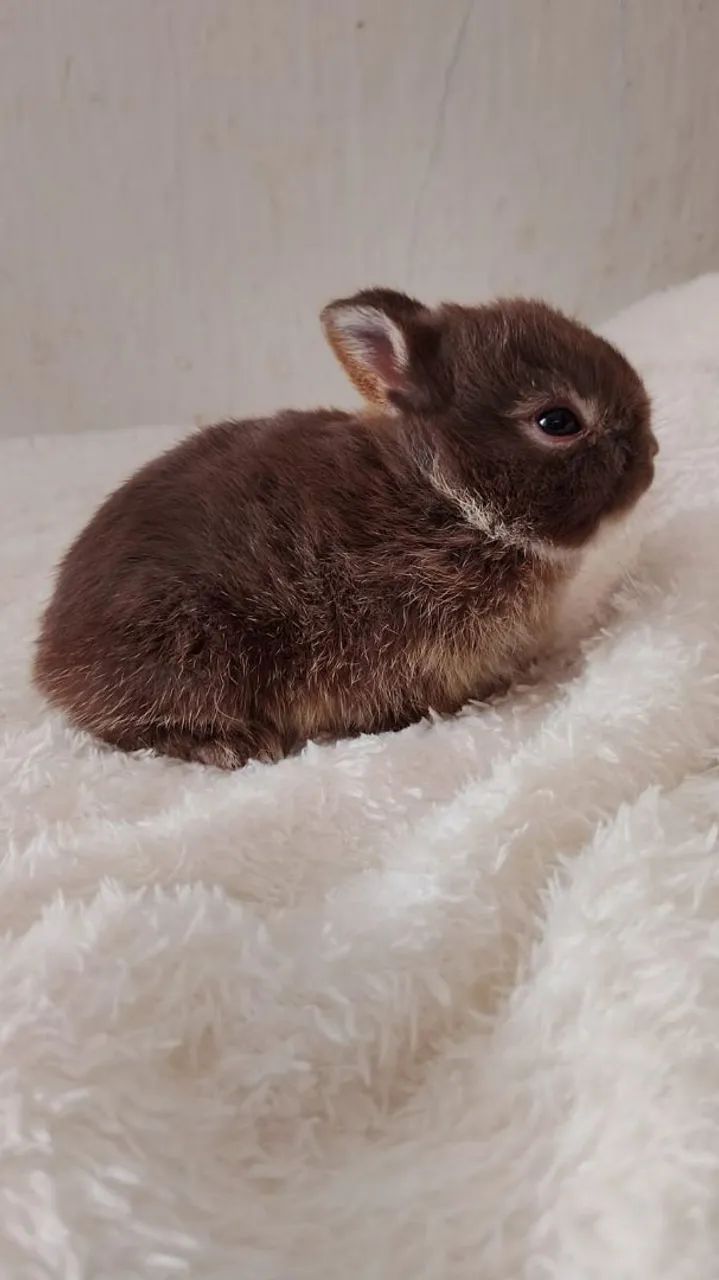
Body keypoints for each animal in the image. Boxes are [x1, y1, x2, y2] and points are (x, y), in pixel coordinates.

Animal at [33, 288, 657, 769]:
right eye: (558, 421)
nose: (650, 458)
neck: (450, 495)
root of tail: (51, 660)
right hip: (188, 649)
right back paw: (230, 746)